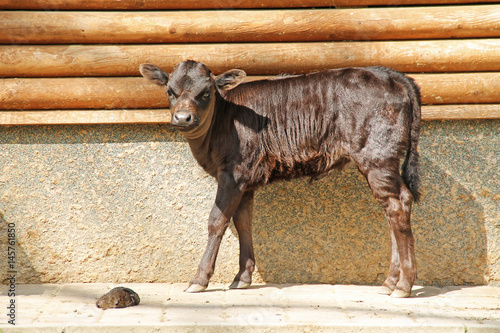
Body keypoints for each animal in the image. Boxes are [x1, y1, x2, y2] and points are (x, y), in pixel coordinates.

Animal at [140, 61, 422, 296]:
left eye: (206, 93)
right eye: (170, 92)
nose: (182, 117)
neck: (224, 121)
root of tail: (387, 73)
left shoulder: (233, 174)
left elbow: (216, 221)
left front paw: (199, 280)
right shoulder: (246, 180)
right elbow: (243, 222)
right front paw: (242, 277)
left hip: (377, 156)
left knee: (396, 206)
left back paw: (404, 285)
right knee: (397, 205)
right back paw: (390, 282)